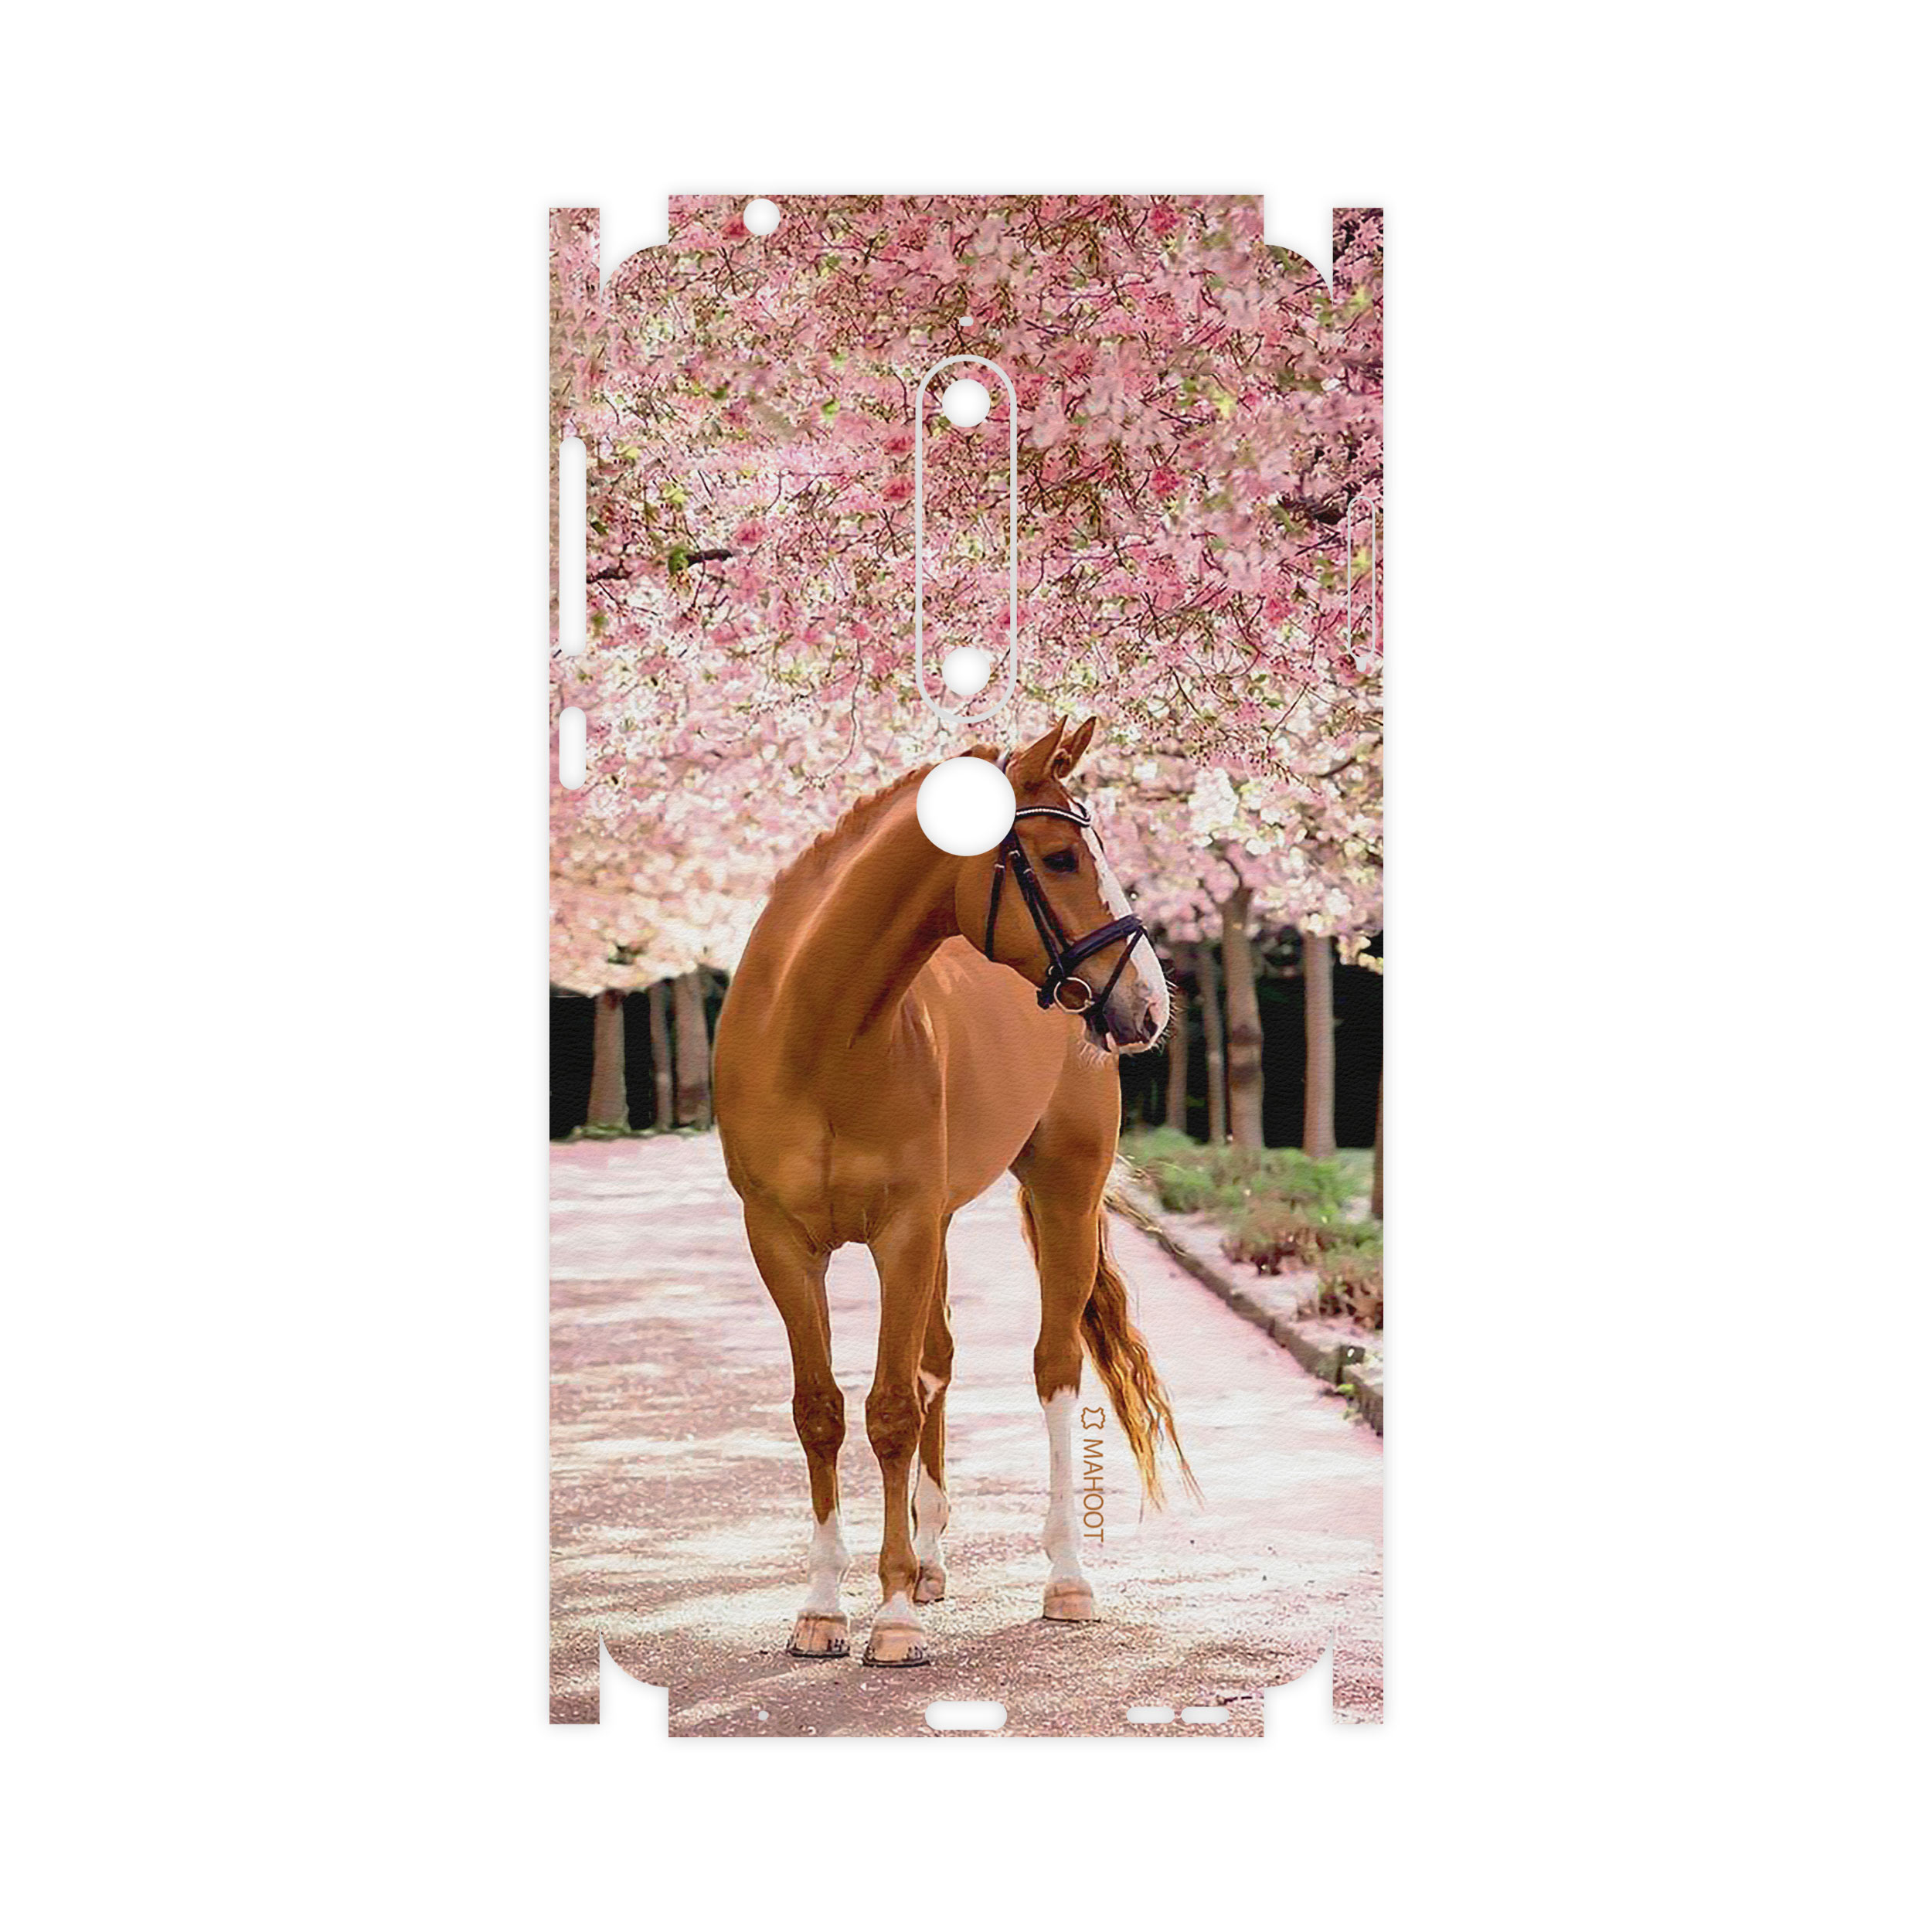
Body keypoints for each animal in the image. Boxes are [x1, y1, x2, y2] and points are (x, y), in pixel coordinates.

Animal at [713, 715, 1194, 1667]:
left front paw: (892, 1617)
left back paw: (1064, 1578)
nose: (1150, 1004)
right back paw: (932, 1562)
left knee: (1053, 1367)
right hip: (937, 1226)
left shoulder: (900, 1232)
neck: (817, 1033)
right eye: (1058, 857)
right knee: (937, 1360)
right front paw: (823, 1608)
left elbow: (892, 1409)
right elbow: (822, 1410)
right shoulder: (782, 1241)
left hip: (1062, 1194)